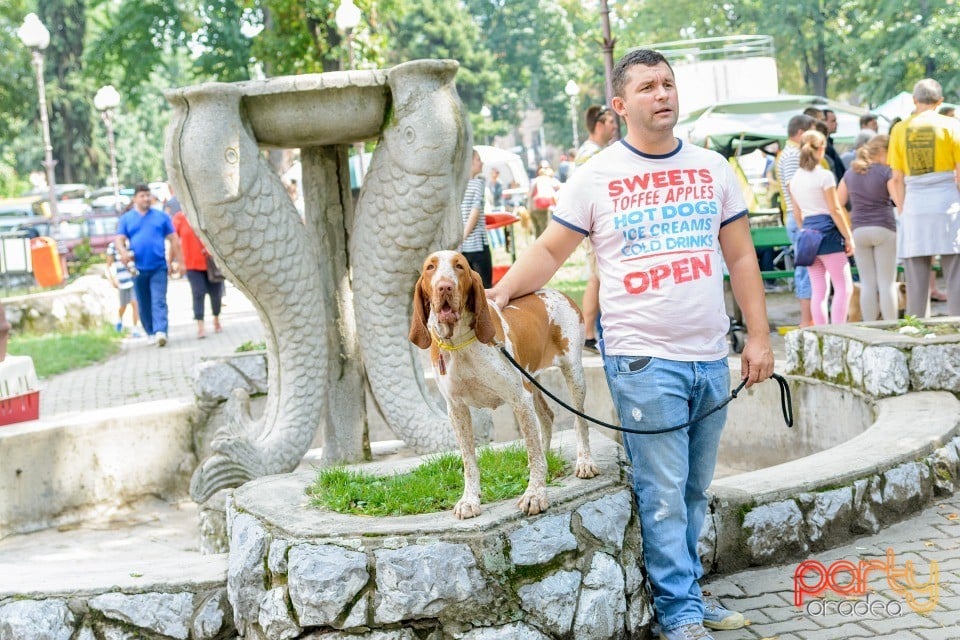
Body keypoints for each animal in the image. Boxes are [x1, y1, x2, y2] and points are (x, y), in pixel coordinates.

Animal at [406, 250, 600, 520]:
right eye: (430, 268)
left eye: (459, 266)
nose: (444, 286)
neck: (460, 344)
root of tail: (559, 293)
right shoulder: (456, 409)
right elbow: (469, 461)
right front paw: (469, 500)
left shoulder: (519, 398)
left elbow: (532, 451)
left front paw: (535, 494)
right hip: (532, 381)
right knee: (547, 416)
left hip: (573, 374)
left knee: (579, 421)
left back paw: (585, 462)